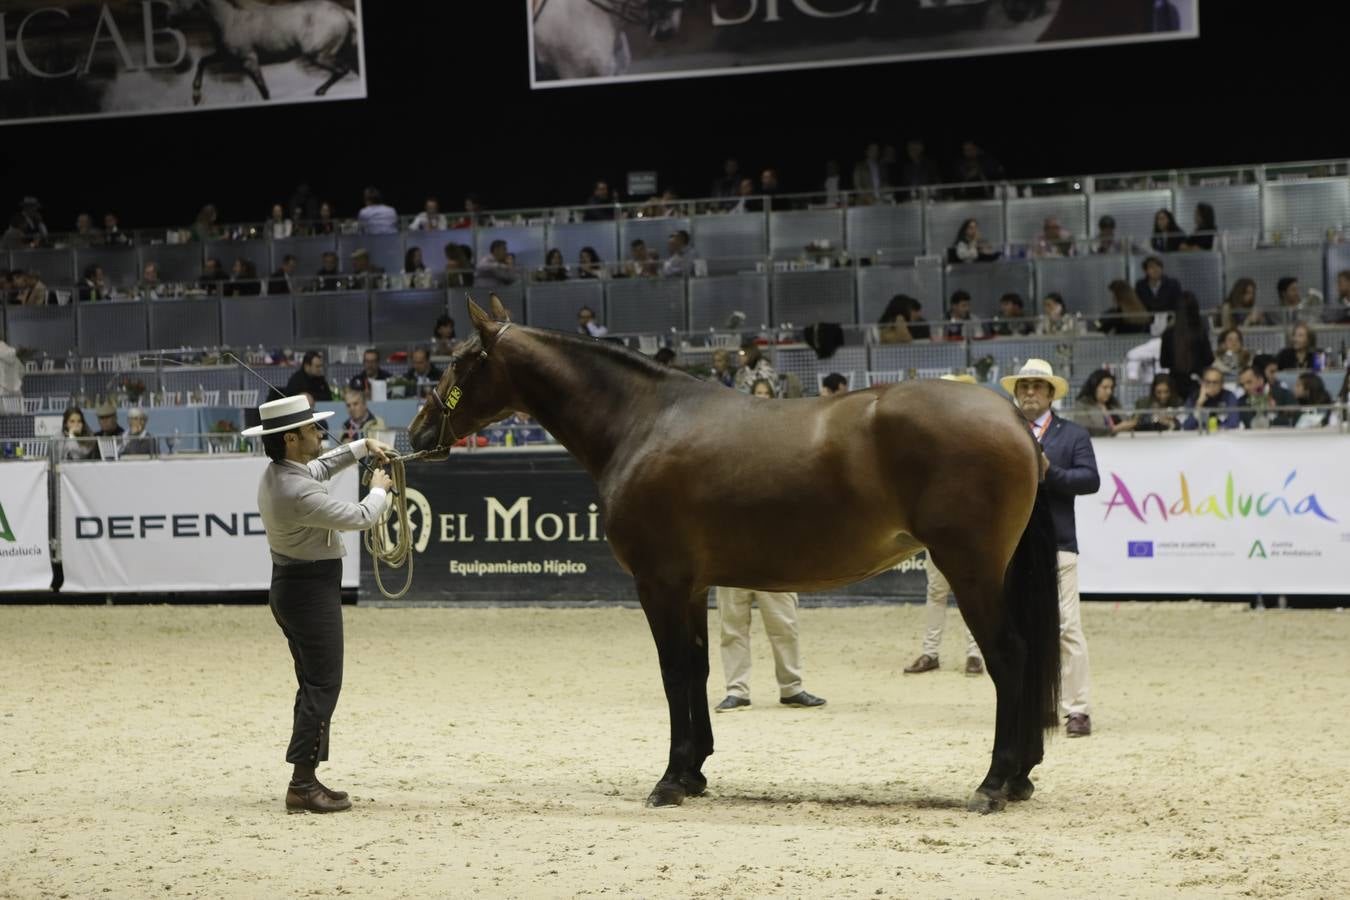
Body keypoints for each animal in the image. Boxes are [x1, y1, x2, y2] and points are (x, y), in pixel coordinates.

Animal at [174, 0, 361, 106]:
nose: (171, 15)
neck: (230, 19)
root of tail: (344, 12)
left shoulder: (248, 60)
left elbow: (264, 91)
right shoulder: (225, 55)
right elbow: (203, 61)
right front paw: (196, 97)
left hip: (319, 55)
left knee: (341, 70)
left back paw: (319, 92)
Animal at [408, 297, 1061, 813]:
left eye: (462, 359)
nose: (416, 433)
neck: (643, 423)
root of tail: (1014, 419)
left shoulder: (659, 583)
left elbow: (674, 671)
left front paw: (670, 780)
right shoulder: (693, 586)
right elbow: (698, 668)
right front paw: (695, 771)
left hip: (970, 568)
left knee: (1009, 655)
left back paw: (994, 783)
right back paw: (1022, 778)